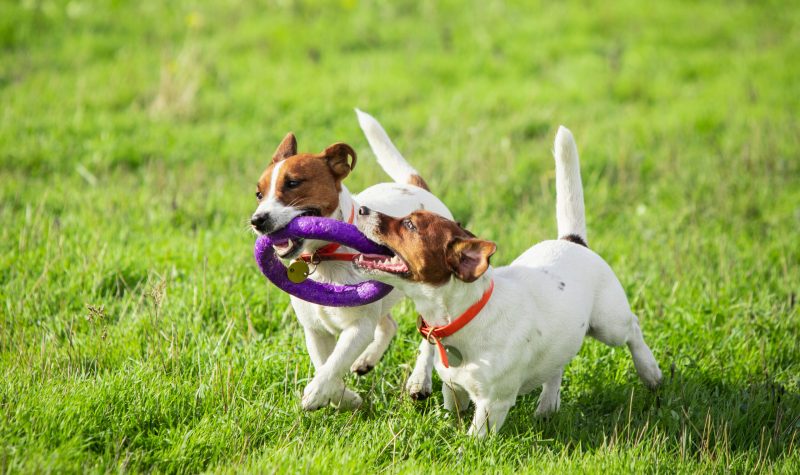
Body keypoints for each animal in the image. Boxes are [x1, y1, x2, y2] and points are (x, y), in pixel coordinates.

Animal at [250, 109, 450, 410]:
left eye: (293, 183)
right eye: (259, 194)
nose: (257, 220)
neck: (324, 258)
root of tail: (415, 188)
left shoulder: (358, 327)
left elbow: (334, 364)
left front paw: (316, 393)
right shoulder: (315, 330)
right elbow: (325, 364)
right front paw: (344, 397)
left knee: (429, 337)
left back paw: (419, 381)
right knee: (388, 325)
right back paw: (367, 360)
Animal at [352, 127, 664, 438]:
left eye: (410, 225)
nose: (362, 209)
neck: (464, 316)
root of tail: (572, 241)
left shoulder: (493, 404)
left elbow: (474, 438)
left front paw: (465, 446)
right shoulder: (454, 388)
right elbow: (454, 411)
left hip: (609, 325)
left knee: (633, 328)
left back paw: (650, 372)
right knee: (557, 366)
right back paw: (547, 405)